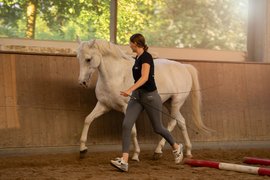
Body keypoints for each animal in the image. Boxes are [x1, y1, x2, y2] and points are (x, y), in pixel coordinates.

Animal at [76, 39, 211, 160]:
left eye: (88, 59)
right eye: (78, 58)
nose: (82, 82)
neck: (116, 76)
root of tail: (184, 67)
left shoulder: (126, 107)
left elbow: (132, 131)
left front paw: (136, 154)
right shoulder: (103, 105)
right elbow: (88, 119)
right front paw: (83, 150)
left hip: (177, 102)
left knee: (172, 123)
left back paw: (159, 151)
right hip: (169, 103)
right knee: (181, 122)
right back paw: (187, 151)